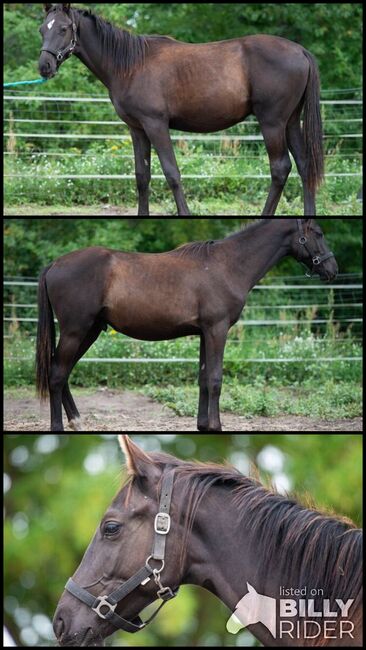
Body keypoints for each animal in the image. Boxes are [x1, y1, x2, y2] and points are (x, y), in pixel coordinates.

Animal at [36, 219, 338, 430]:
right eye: (318, 233)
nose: (332, 269)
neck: (227, 265)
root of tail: (54, 264)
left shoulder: (205, 332)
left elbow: (203, 378)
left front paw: (203, 425)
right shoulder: (217, 329)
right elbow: (215, 379)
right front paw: (216, 426)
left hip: (90, 331)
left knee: (63, 372)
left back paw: (77, 422)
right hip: (76, 331)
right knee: (57, 374)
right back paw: (59, 426)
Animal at [39, 4, 324, 215]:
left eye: (63, 28)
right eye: (43, 29)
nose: (44, 66)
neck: (131, 65)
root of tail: (300, 51)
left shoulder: (156, 125)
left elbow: (172, 173)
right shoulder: (137, 129)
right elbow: (142, 176)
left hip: (272, 122)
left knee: (280, 168)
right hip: (290, 122)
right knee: (304, 165)